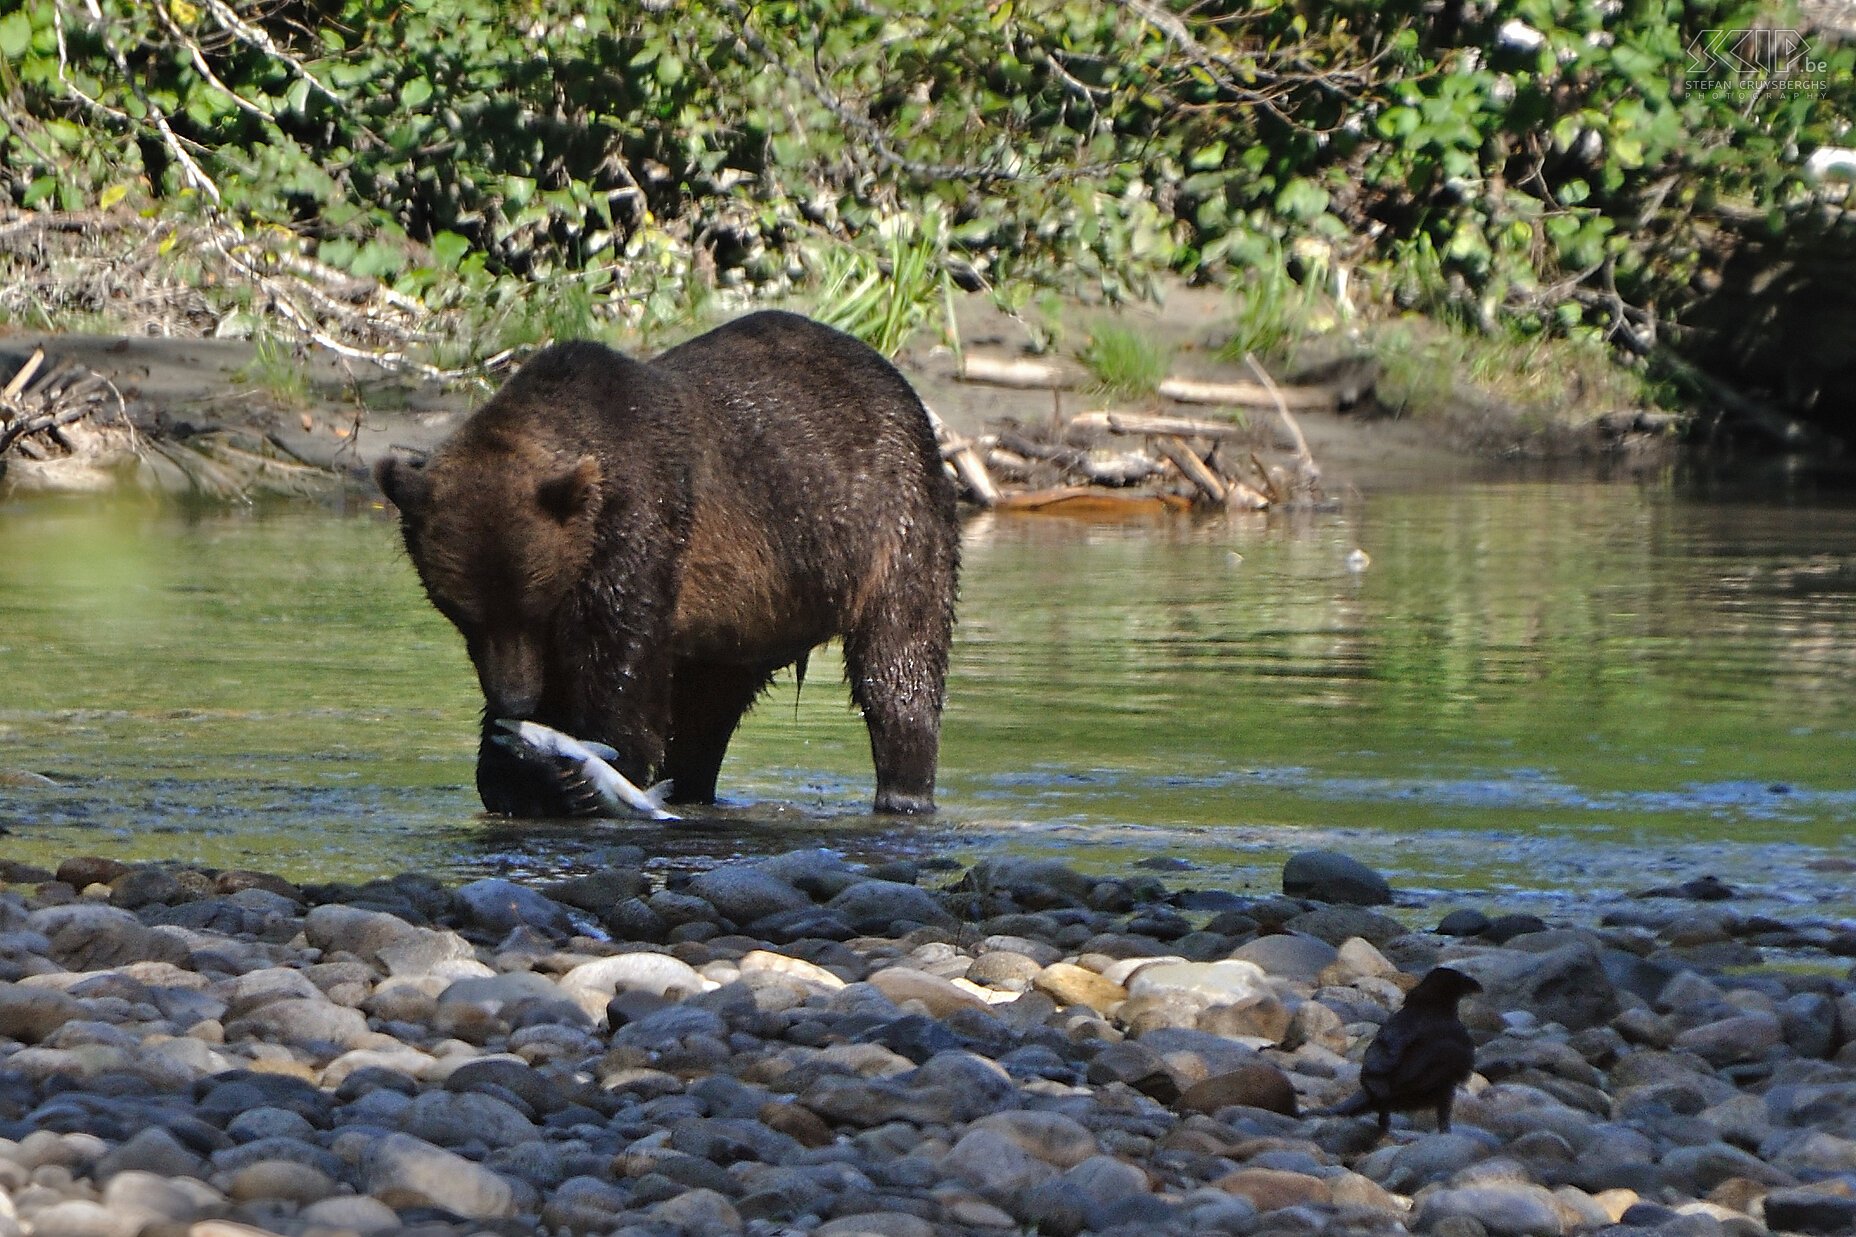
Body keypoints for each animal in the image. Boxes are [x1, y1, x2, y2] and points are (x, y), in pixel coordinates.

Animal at [371, 308, 965, 813]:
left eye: (534, 606)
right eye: (461, 614)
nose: (516, 700)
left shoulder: (638, 526)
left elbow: (621, 676)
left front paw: (577, 771)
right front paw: (514, 769)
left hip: (891, 523)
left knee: (900, 663)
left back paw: (904, 789)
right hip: (747, 616)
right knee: (707, 710)